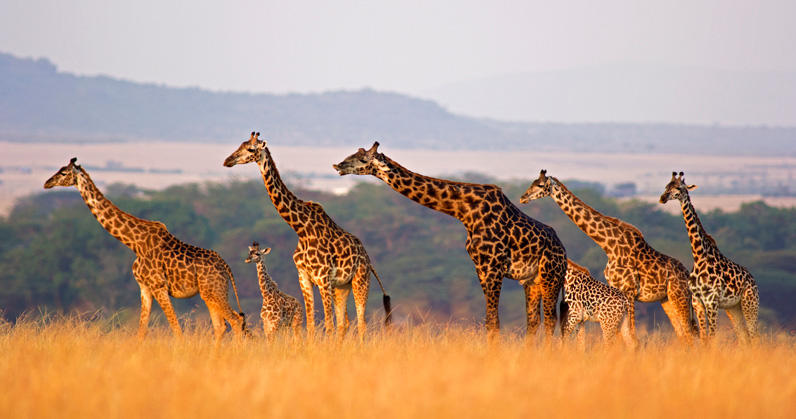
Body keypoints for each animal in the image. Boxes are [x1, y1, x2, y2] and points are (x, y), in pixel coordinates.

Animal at [44, 158, 250, 342]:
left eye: (63, 172)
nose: (47, 183)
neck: (134, 243)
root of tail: (226, 267)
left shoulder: (158, 286)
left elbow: (176, 328)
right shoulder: (144, 288)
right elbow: (142, 331)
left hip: (213, 291)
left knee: (236, 320)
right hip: (211, 293)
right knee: (222, 326)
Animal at [223, 133, 392, 339]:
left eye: (251, 149)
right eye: (241, 145)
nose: (227, 160)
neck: (300, 229)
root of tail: (368, 259)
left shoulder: (323, 278)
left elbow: (328, 324)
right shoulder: (304, 277)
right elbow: (311, 325)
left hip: (360, 279)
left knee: (361, 323)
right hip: (341, 287)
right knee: (344, 323)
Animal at [333, 142, 567, 339]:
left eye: (363, 159)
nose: (338, 165)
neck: (464, 211)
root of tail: (564, 252)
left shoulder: (493, 267)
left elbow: (493, 321)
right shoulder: (480, 268)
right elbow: (490, 320)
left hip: (551, 276)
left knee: (550, 320)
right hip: (532, 281)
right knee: (534, 321)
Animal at [520, 170, 697, 341]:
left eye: (540, 185)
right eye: (532, 182)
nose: (523, 197)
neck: (609, 245)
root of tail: (687, 274)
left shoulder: (629, 290)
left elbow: (631, 335)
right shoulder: (616, 288)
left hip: (679, 297)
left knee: (689, 333)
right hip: (666, 300)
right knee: (683, 333)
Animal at [659, 171, 759, 342]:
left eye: (679, 188)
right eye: (666, 186)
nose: (662, 198)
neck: (699, 256)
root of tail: (753, 281)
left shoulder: (711, 302)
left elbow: (711, 337)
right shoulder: (697, 301)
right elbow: (704, 338)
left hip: (750, 304)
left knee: (754, 336)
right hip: (733, 308)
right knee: (743, 336)